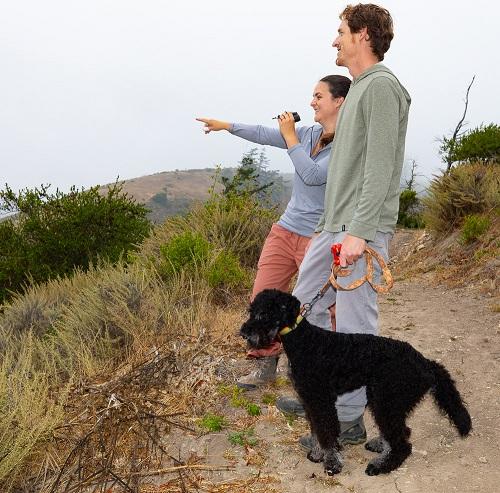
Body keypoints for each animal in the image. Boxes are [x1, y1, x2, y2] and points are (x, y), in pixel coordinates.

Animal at [240, 290, 470, 474]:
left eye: (263, 313)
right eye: (251, 311)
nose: (243, 332)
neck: (305, 341)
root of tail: (425, 362)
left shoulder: (321, 401)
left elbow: (327, 432)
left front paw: (332, 463)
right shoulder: (310, 401)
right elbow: (317, 430)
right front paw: (318, 454)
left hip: (386, 401)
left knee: (403, 442)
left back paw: (381, 466)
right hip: (389, 401)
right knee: (401, 432)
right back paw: (381, 447)